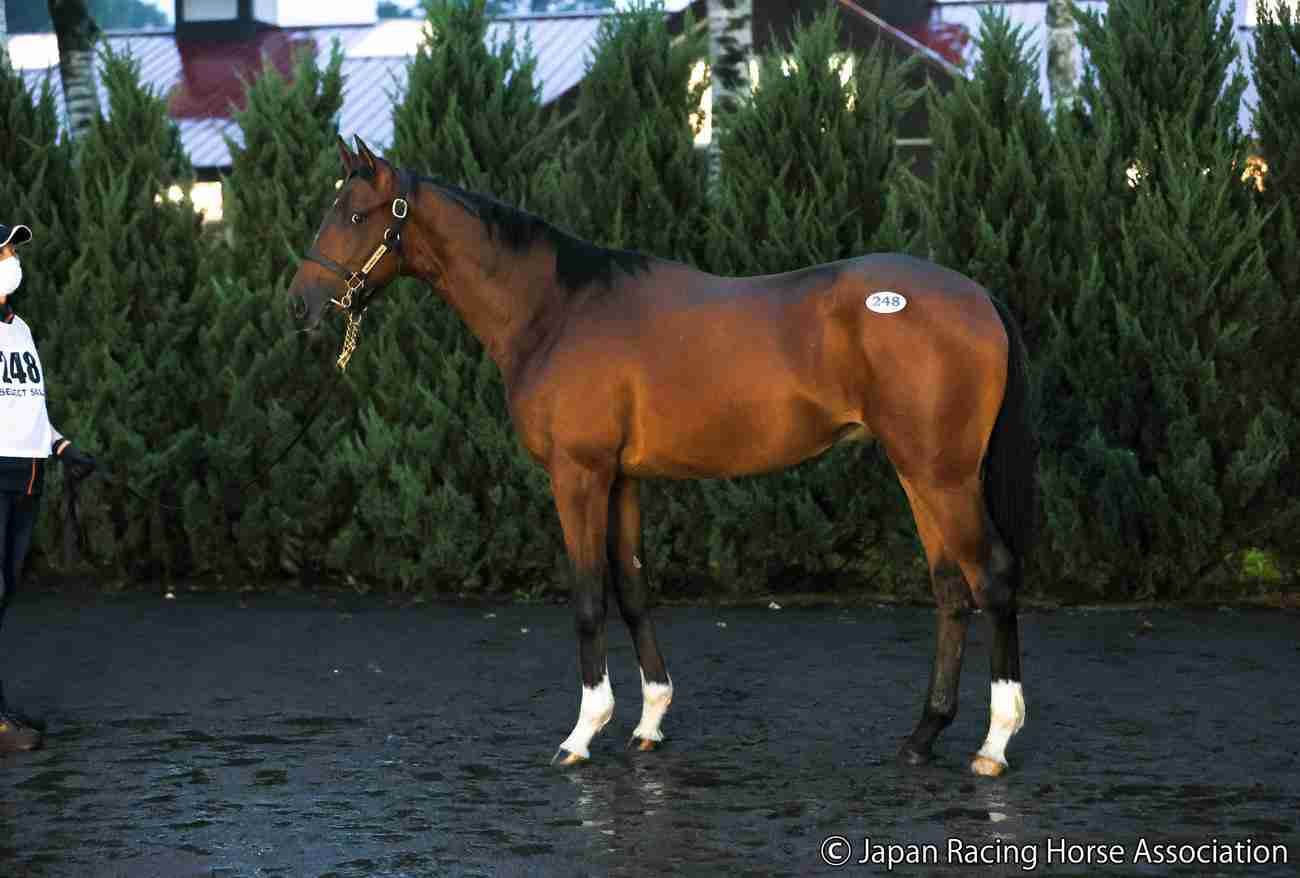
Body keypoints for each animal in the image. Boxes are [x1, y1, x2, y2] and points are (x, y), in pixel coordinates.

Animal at [288, 136, 1038, 777]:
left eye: (355, 214)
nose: (299, 304)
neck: (555, 309)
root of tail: (978, 297)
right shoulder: (623, 480)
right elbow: (633, 589)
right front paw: (648, 722)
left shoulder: (578, 476)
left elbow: (588, 595)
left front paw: (582, 732)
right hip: (921, 474)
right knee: (951, 589)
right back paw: (923, 736)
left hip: (942, 477)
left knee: (993, 577)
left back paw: (994, 744)